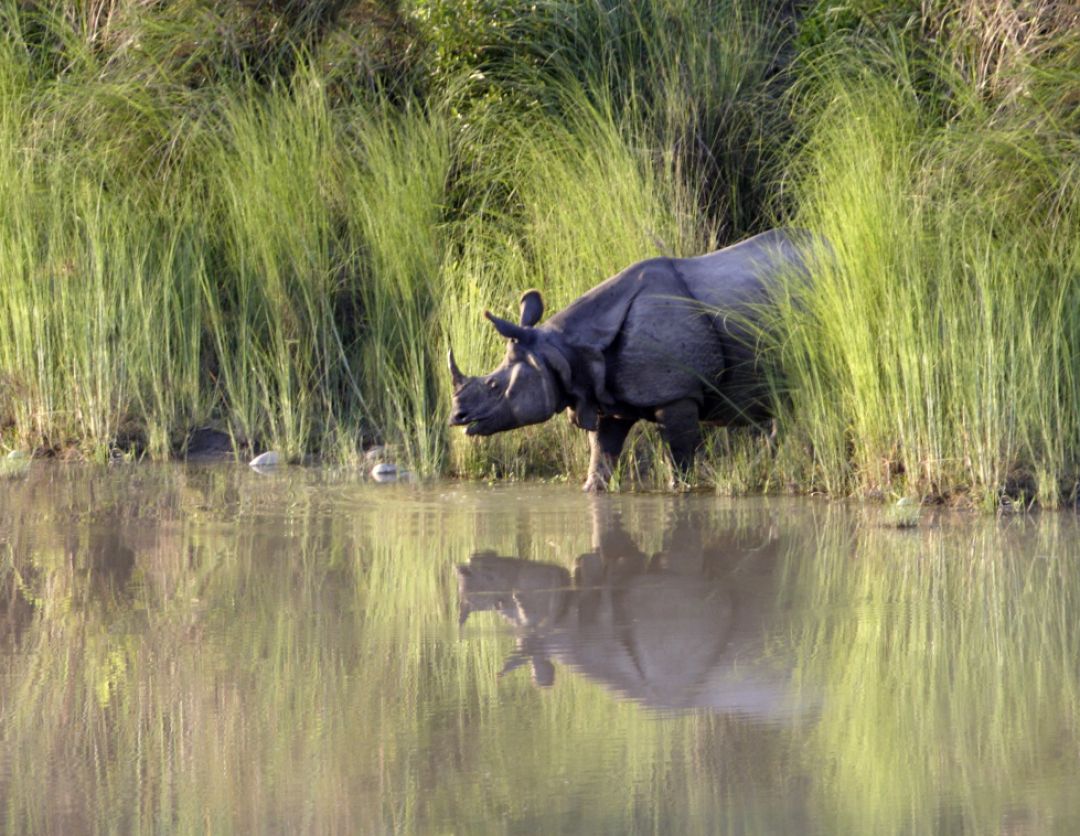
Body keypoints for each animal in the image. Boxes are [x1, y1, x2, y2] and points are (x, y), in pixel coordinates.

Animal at [448, 228, 817, 490]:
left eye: (494, 386)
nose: (456, 417)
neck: (564, 352)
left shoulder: (678, 395)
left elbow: (680, 460)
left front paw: (681, 490)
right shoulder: (603, 399)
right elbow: (601, 459)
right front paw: (592, 489)